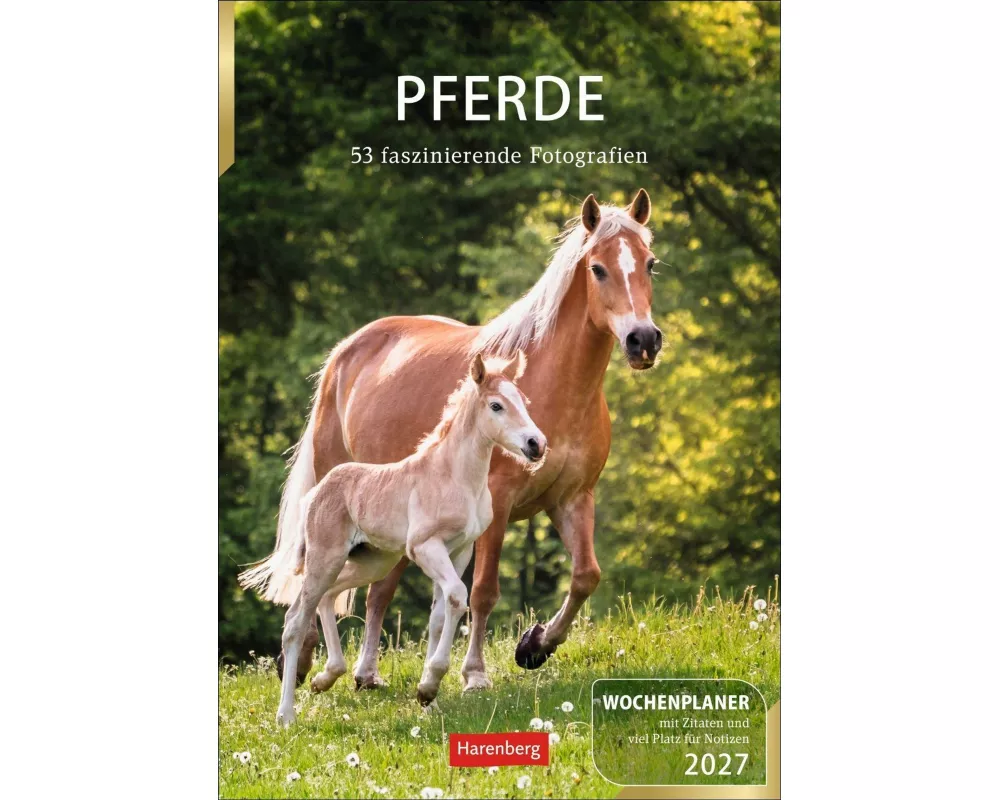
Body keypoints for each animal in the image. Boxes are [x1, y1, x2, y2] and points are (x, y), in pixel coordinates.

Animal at [241, 353, 545, 724]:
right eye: (496, 405)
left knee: (327, 598)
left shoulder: (459, 550)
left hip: (372, 562)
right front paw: (430, 684)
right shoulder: (425, 547)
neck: (454, 476)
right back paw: (286, 714)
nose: (536, 445)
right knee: (295, 622)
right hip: (325, 558)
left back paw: (326, 677)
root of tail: (314, 493)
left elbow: (439, 615)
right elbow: (457, 596)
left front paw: (428, 696)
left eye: (523, 401)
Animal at [259, 189, 661, 691]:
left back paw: (366, 673)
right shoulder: (499, 503)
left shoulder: (573, 497)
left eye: (650, 264)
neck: (558, 383)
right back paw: (307, 664)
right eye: (598, 268)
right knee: (321, 587)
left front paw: (535, 645)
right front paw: (475, 674)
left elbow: (586, 576)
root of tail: (345, 352)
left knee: (377, 591)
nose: (643, 340)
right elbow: (484, 591)